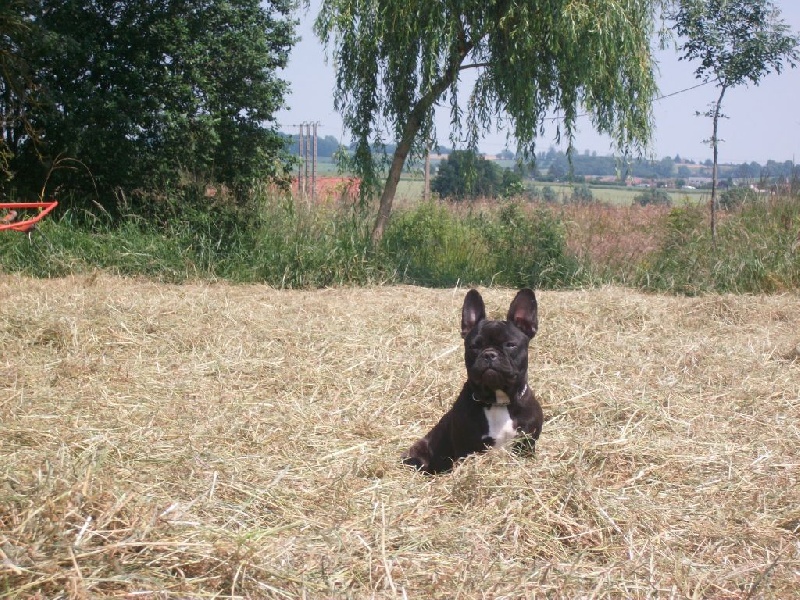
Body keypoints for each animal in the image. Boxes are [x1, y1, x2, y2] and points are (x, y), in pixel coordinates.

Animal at [406, 288, 544, 476]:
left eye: (510, 345)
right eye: (473, 346)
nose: (489, 354)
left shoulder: (527, 445)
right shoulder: (466, 449)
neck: (497, 402)